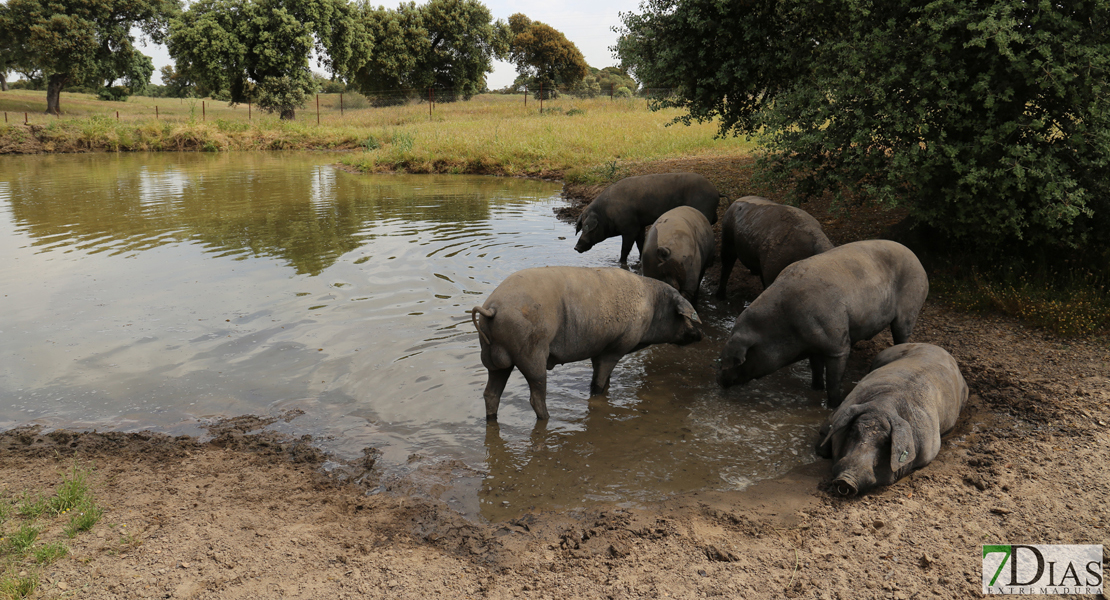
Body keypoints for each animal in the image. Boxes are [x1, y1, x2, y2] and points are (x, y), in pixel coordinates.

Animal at [470, 266, 701, 421]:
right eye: (685, 317)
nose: (701, 334)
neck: (652, 307)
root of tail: (492, 308)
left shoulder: (600, 349)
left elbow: (604, 379)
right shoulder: (616, 347)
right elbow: (597, 384)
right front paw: (597, 395)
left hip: (495, 361)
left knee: (490, 394)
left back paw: (491, 420)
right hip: (532, 355)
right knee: (536, 396)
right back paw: (548, 418)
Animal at [572, 171, 719, 262]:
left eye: (588, 228)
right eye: (581, 227)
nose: (576, 247)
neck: (607, 213)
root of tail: (716, 192)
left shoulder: (630, 228)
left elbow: (626, 248)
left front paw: (621, 262)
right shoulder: (640, 226)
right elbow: (640, 244)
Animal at [719, 238, 927, 408]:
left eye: (737, 360)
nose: (718, 381)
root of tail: (919, 263)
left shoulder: (837, 344)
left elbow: (834, 379)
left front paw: (832, 406)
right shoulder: (814, 345)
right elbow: (816, 368)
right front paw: (815, 389)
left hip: (910, 305)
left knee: (902, 333)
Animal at [812, 343, 967, 494]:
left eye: (886, 442)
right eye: (853, 431)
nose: (846, 481)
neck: (883, 406)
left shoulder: (929, 451)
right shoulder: (835, 415)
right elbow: (822, 445)